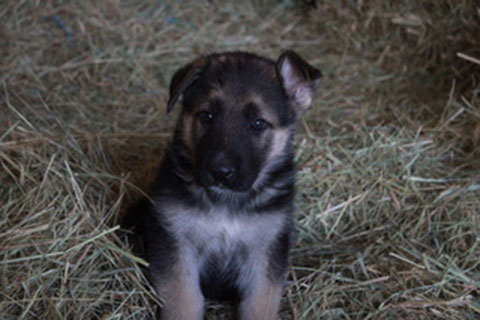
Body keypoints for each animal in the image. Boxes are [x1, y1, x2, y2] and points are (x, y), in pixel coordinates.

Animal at [129, 51, 320, 318]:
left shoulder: (265, 252)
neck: (226, 201)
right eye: (207, 116)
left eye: (258, 123)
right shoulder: (174, 241)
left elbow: (259, 304)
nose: (221, 172)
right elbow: (184, 300)